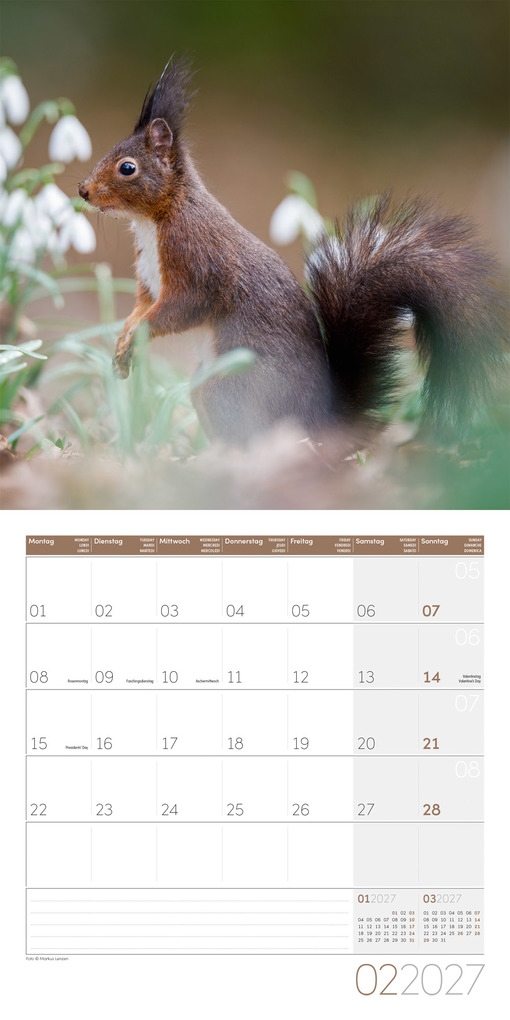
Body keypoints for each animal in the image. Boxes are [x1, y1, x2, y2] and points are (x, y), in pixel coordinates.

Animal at [78, 59, 505, 445]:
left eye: (127, 168)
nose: (82, 190)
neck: (155, 220)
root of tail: (321, 418)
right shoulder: (149, 282)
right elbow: (141, 306)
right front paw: (123, 340)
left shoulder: (197, 261)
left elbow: (184, 306)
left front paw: (136, 337)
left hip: (231, 387)